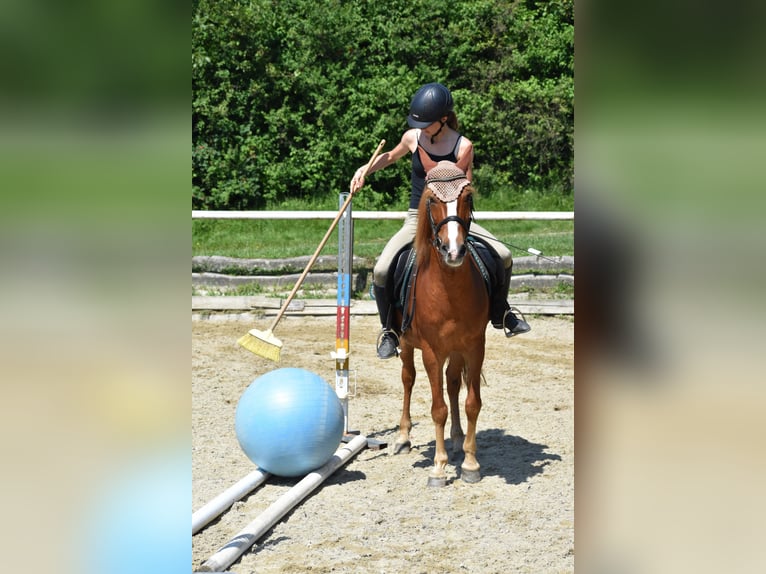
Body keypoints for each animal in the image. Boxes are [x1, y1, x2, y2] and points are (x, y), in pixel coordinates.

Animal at [396, 161, 492, 486]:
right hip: (405, 343)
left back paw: (457, 438)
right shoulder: (431, 351)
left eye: (468, 197)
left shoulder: (475, 346)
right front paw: (438, 467)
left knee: (452, 384)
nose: (454, 251)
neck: (449, 290)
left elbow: (471, 403)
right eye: (432, 201)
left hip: (457, 349)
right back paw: (403, 436)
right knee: (408, 379)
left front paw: (471, 464)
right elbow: (438, 408)